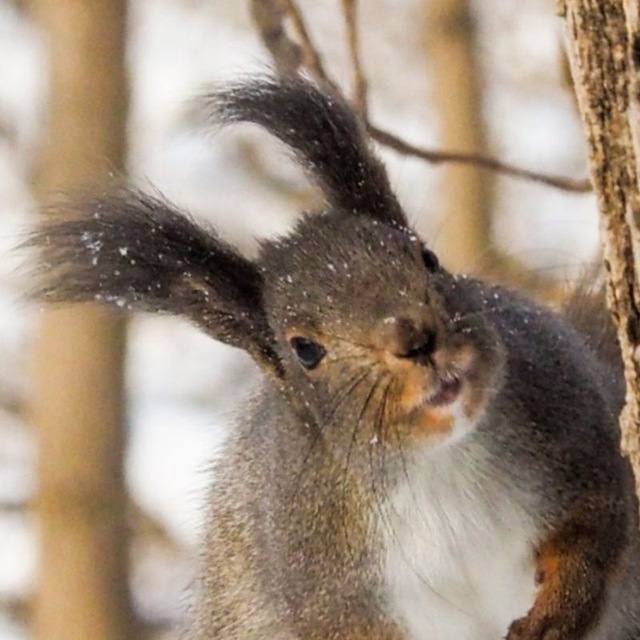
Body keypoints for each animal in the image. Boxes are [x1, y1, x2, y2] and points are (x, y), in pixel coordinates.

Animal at [30, 76, 640, 640]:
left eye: (427, 257)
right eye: (304, 349)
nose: (416, 339)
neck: (441, 462)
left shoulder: (577, 427)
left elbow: (596, 526)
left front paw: (555, 617)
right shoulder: (322, 585)